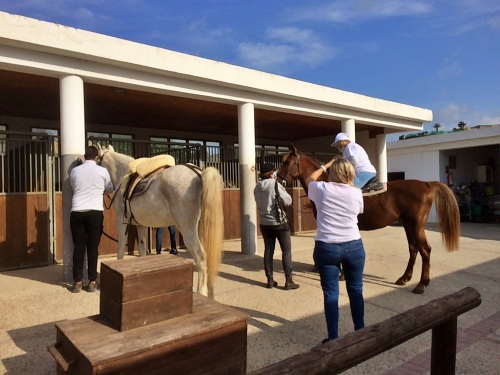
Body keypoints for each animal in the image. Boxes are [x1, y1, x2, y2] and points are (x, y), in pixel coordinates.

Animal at [96, 145, 225, 298]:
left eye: (97, 161)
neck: (123, 176)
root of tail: (199, 174)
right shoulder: (141, 225)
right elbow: (142, 251)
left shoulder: (121, 223)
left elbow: (120, 250)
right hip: (202, 230)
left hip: (188, 231)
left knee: (201, 258)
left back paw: (201, 292)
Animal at [278, 144, 460, 294]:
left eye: (287, 162)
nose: (278, 178)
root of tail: (426, 184)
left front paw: (340, 274)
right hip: (408, 224)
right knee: (413, 248)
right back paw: (404, 278)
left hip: (416, 225)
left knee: (425, 250)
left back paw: (421, 284)